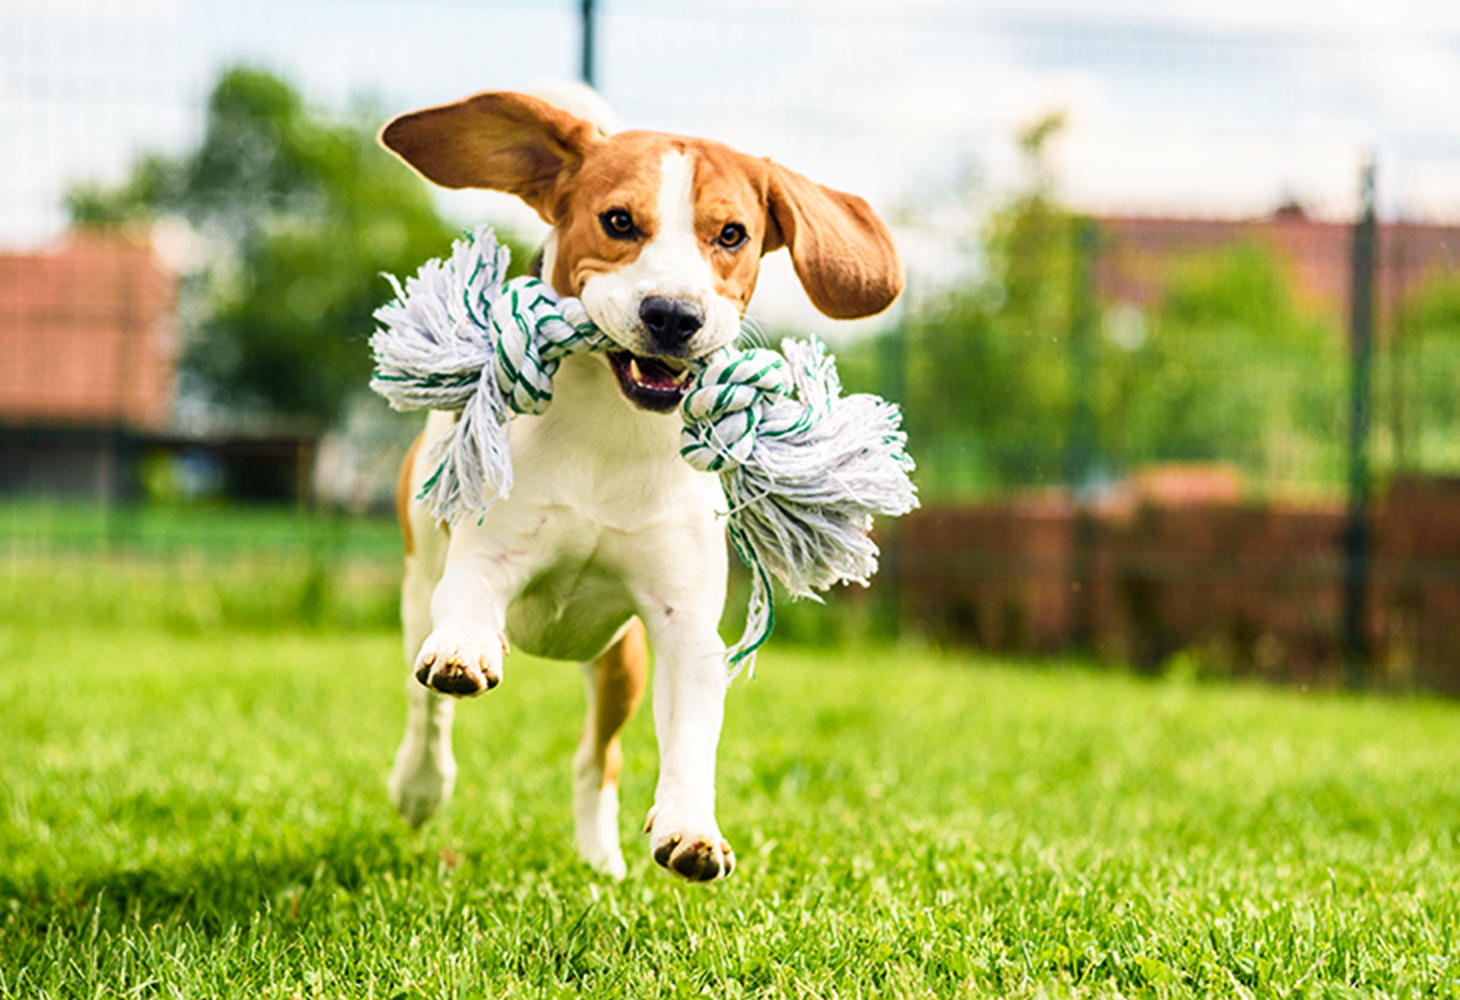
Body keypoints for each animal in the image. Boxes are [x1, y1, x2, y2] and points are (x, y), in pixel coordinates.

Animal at [376, 89, 899, 875]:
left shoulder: (683, 623)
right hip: (418, 585)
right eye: (619, 221)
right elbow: (464, 611)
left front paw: (690, 826)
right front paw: (466, 651)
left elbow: (690, 734)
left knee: (597, 758)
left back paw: (599, 859)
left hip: (618, 660)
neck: (612, 437)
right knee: (426, 708)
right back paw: (420, 781)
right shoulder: (487, 558)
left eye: (732, 235)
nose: (674, 316)